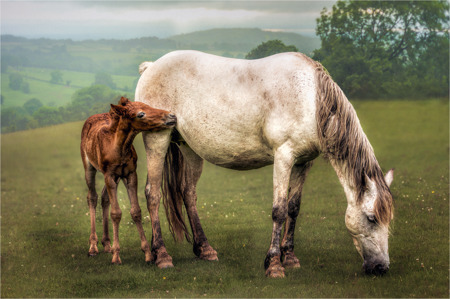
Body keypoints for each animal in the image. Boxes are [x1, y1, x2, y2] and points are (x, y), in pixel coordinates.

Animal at [81, 96, 176, 264]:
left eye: (147, 105)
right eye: (140, 114)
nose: (171, 116)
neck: (119, 147)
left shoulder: (130, 174)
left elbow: (136, 211)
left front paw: (148, 253)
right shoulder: (109, 175)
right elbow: (116, 213)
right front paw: (116, 256)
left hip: (116, 177)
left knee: (104, 198)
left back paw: (107, 244)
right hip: (89, 167)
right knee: (92, 197)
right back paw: (93, 247)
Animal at [134, 49, 394, 278]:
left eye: (388, 220)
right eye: (371, 218)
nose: (381, 267)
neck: (309, 97)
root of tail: (151, 67)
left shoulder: (303, 162)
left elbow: (293, 207)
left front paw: (290, 258)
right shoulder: (284, 157)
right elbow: (279, 210)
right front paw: (275, 265)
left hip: (190, 149)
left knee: (188, 193)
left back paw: (204, 249)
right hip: (158, 139)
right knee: (152, 193)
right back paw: (161, 255)